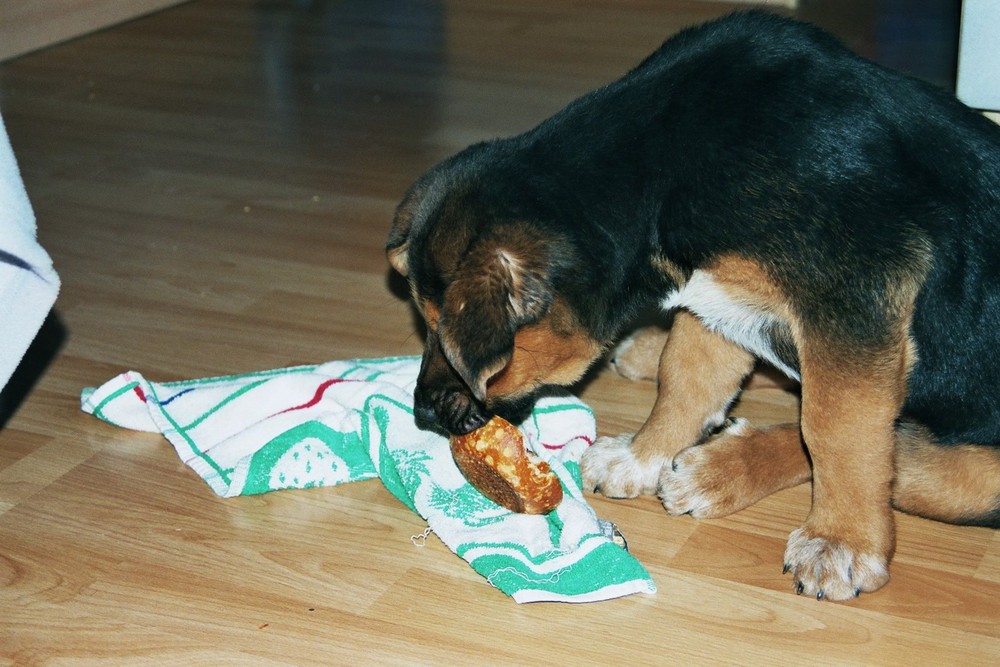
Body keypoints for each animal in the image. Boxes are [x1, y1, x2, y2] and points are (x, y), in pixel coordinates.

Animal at [382, 10, 1000, 604]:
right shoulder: (719, 298)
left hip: (979, 477)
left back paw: (719, 468)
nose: (422, 413)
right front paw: (642, 456)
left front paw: (842, 542)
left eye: (443, 330)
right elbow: (687, 378)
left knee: (892, 449)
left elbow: (836, 427)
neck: (654, 167)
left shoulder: (854, 295)